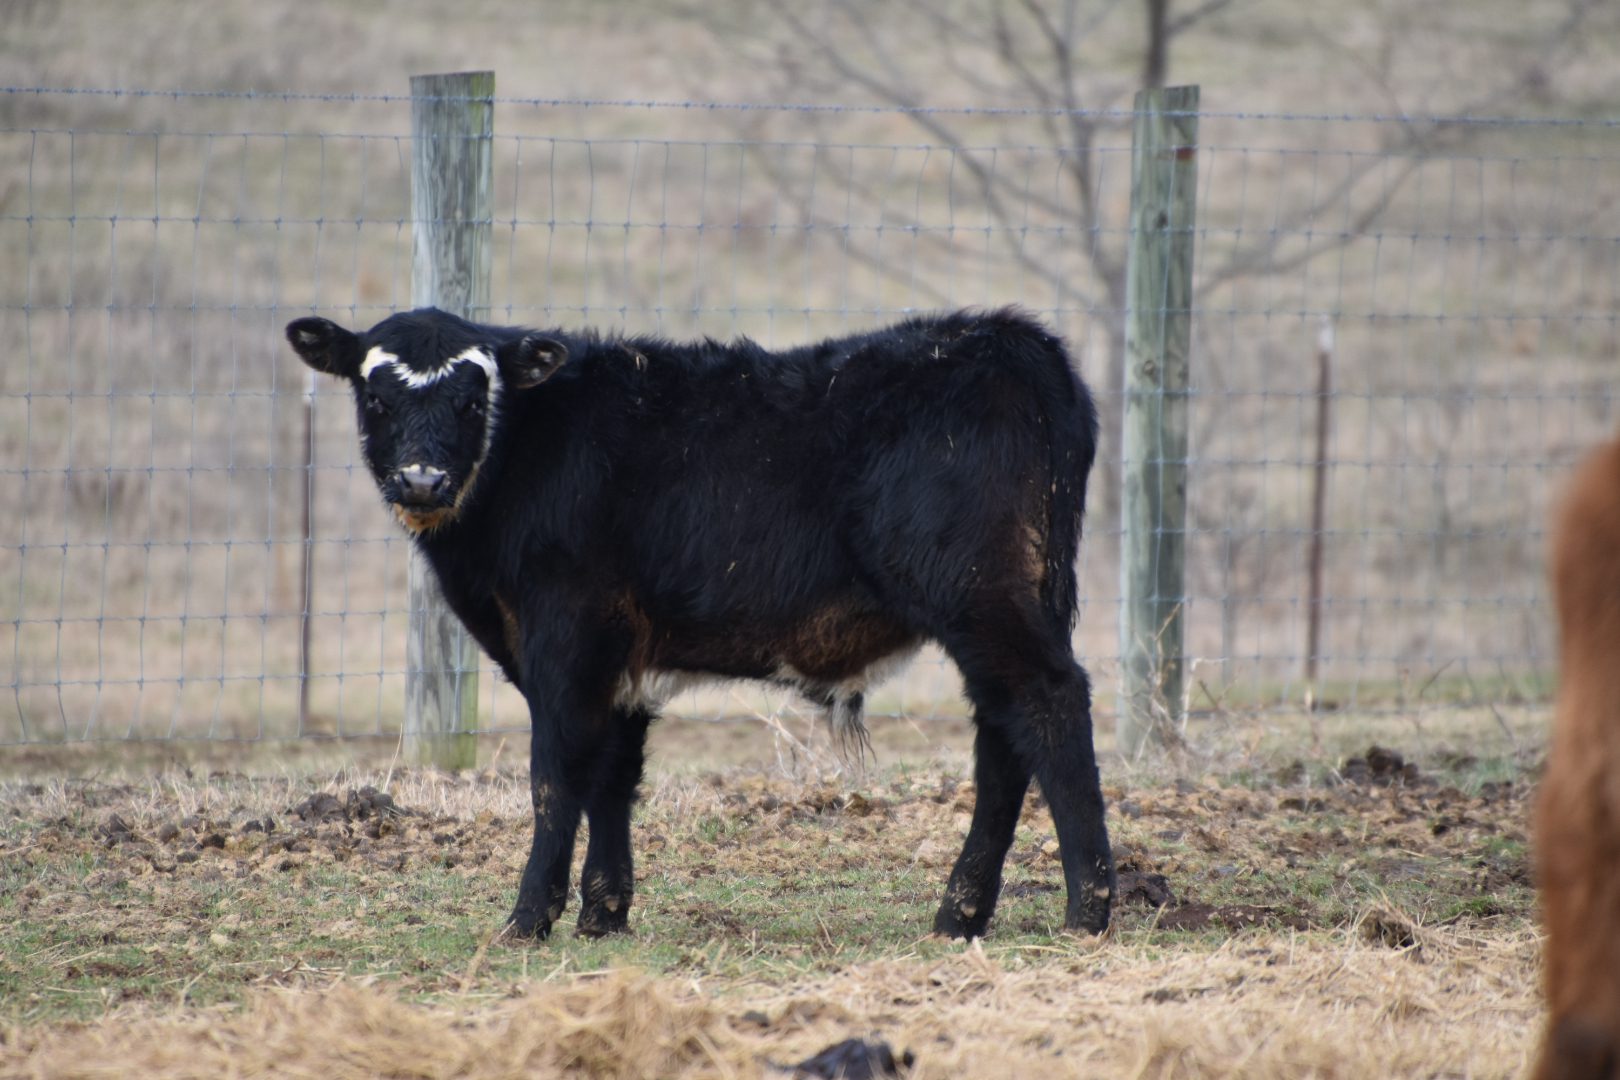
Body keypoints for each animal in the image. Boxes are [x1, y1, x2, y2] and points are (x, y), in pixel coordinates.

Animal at [285, 305, 1114, 941]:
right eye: (376, 397)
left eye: (470, 399)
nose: (421, 479)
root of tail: (1011, 339)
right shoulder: (620, 656)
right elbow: (613, 776)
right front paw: (603, 914)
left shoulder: (566, 638)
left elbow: (555, 776)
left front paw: (528, 918)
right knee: (1003, 733)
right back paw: (960, 914)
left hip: (979, 596)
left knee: (1048, 702)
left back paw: (1090, 908)